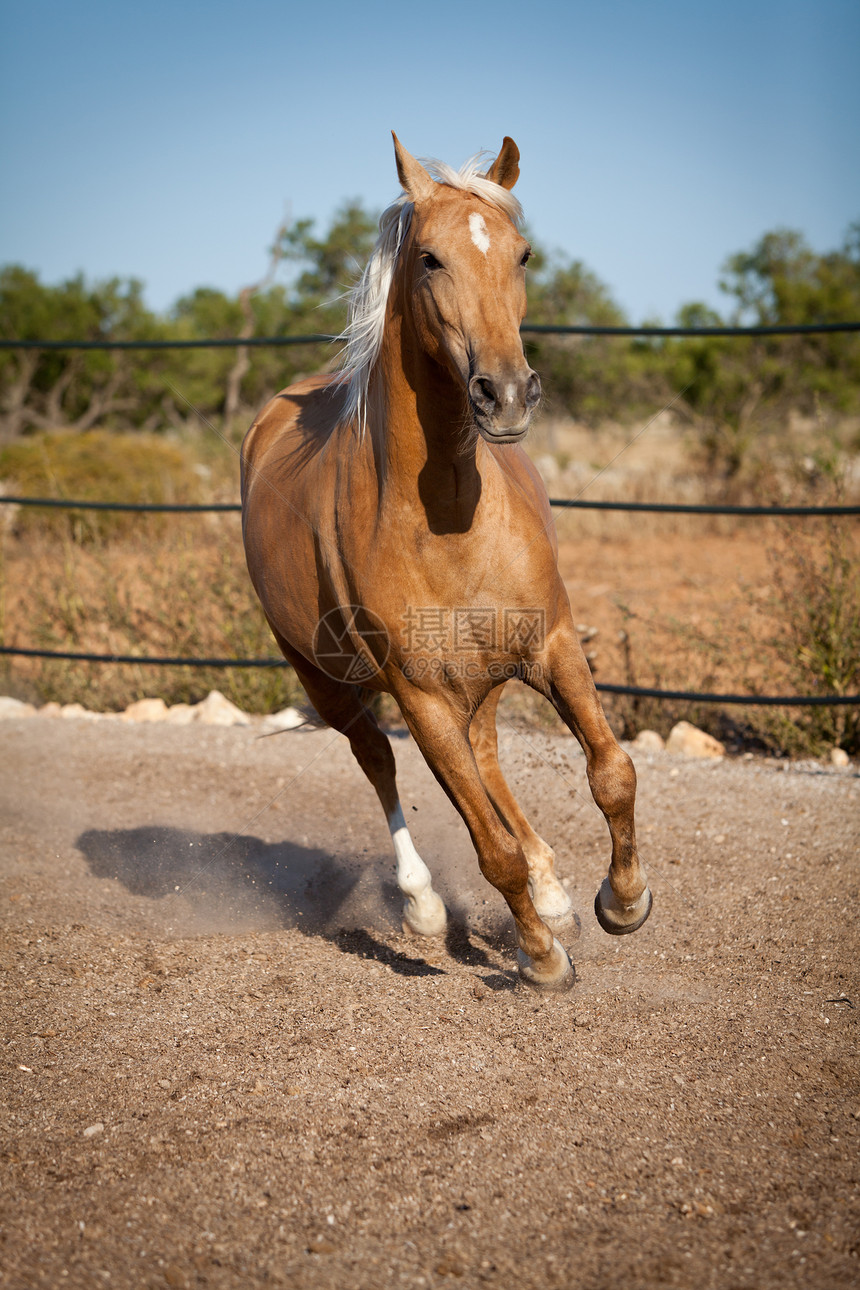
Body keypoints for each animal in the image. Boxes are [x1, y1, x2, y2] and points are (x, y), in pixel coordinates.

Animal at [238, 138, 649, 985]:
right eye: (429, 258)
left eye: (523, 254)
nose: (507, 393)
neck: (449, 517)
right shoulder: (421, 696)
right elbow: (488, 848)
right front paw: (541, 958)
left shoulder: (554, 645)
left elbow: (611, 771)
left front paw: (620, 903)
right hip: (324, 676)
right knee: (377, 760)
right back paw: (425, 904)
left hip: (479, 679)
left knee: (487, 757)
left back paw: (554, 891)